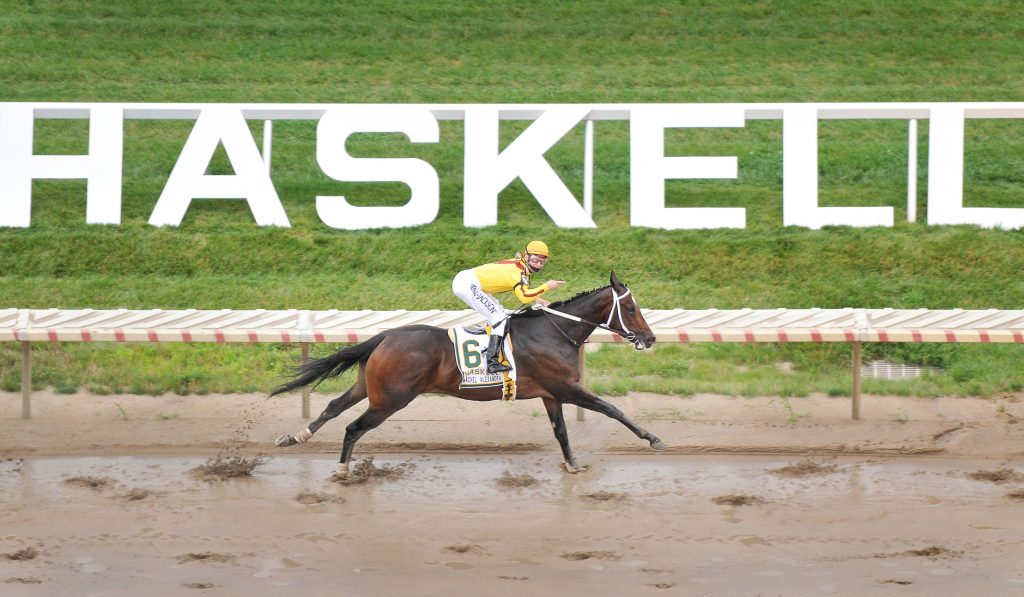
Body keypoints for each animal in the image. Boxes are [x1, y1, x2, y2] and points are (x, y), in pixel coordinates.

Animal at [270, 272, 663, 477]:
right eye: (630, 308)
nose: (650, 338)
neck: (555, 331)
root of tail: (384, 336)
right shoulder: (566, 387)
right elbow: (612, 409)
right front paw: (653, 438)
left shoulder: (552, 394)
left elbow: (561, 432)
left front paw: (572, 465)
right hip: (390, 400)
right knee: (353, 427)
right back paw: (341, 470)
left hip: (370, 388)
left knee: (334, 406)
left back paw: (296, 436)